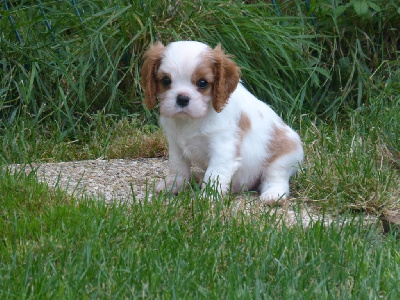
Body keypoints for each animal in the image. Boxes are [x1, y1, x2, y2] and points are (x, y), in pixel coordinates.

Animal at [141, 40, 304, 204]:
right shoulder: (175, 145)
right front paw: (173, 186)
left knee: (276, 178)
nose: (182, 98)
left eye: (202, 83)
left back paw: (273, 195)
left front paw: (209, 196)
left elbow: (215, 173)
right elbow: (178, 167)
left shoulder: (223, 147)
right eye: (166, 80)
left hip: (284, 156)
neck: (190, 120)